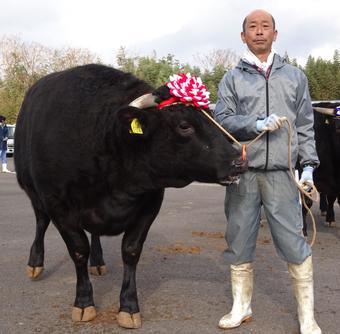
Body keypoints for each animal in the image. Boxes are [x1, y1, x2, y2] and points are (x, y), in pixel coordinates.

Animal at [14, 64, 246, 328]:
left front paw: (128, 306)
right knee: (41, 222)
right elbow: (78, 250)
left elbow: (131, 251)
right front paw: (83, 303)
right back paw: (35, 264)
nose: (238, 159)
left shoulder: (150, 204)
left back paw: (98, 262)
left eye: (211, 117)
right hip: (34, 193)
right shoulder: (59, 206)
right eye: (184, 125)